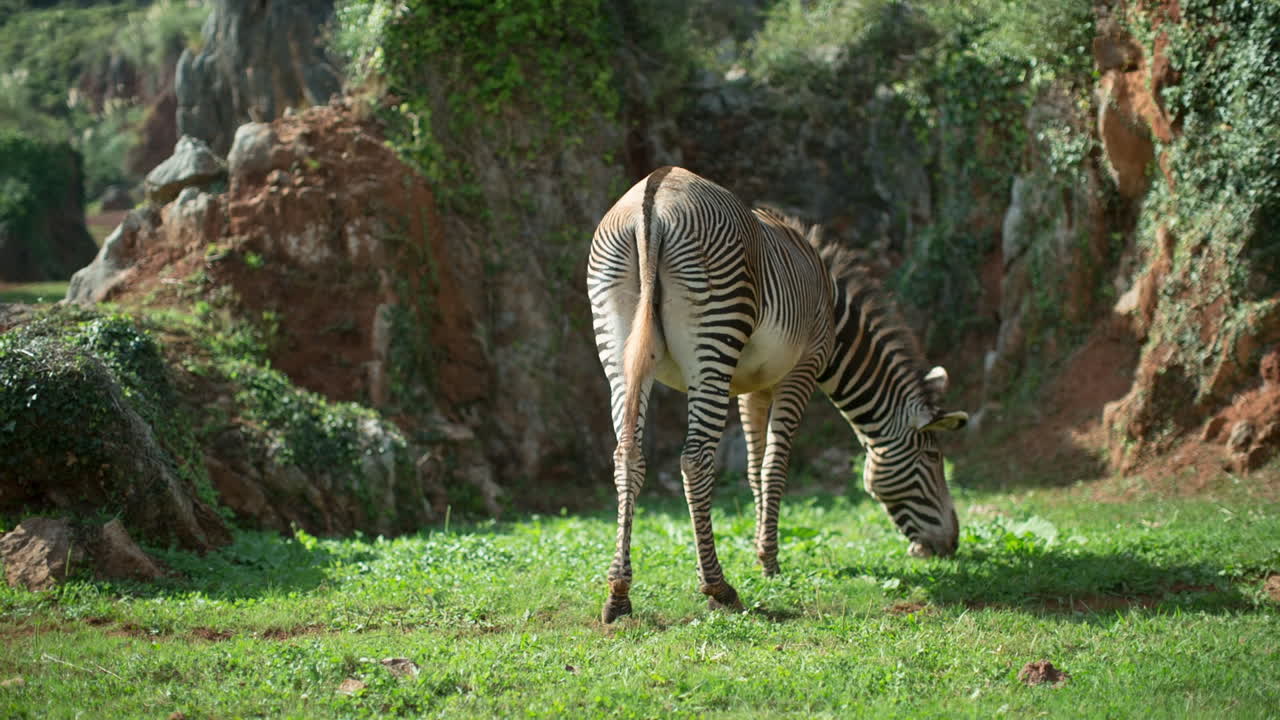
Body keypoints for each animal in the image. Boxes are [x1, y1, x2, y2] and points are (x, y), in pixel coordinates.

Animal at [586, 166, 966, 623]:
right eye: (932, 457)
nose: (951, 544)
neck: (834, 316)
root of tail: (654, 195)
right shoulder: (800, 372)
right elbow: (774, 468)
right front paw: (770, 561)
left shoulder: (751, 388)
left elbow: (753, 469)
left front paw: (759, 550)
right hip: (714, 337)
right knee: (695, 461)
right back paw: (718, 588)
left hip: (619, 344)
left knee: (627, 456)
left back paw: (618, 593)